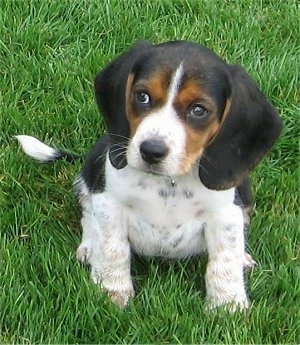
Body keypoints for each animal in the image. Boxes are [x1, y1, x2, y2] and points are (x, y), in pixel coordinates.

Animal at [17, 40, 282, 310]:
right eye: (142, 96)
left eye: (199, 110)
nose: (151, 151)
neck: (169, 182)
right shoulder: (110, 203)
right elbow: (113, 248)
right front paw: (112, 291)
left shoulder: (225, 213)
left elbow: (224, 261)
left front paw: (227, 305)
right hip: (91, 171)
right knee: (88, 215)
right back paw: (89, 247)